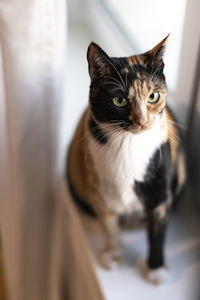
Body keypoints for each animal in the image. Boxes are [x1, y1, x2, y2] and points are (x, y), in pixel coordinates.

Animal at [67, 34, 186, 284]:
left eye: (153, 96)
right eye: (119, 100)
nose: (142, 121)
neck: (128, 144)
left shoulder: (160, 193)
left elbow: (158, 232)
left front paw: (155, 270)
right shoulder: (99, 193)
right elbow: (109, 226)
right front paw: (113, 256)